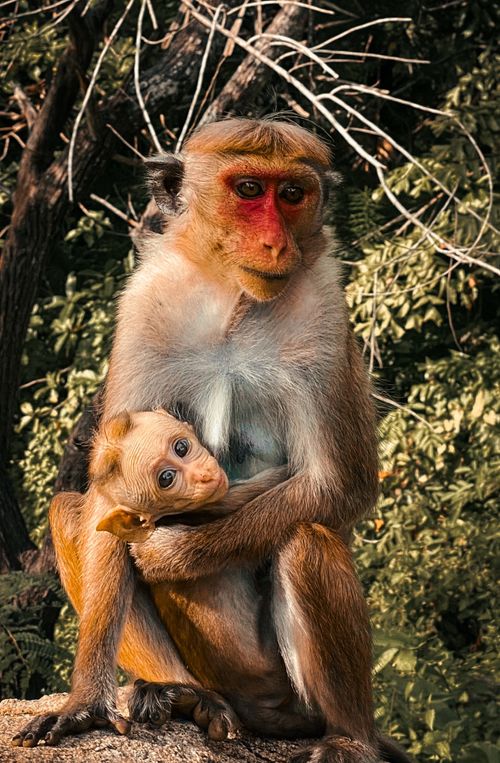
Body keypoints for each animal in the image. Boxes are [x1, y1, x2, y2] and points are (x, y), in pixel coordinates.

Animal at [13, 118, 412, 762]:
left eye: (291, 194)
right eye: (249, 189)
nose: (276, 244)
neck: (233, 300)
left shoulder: (325, 315)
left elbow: (337, 485)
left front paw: (173, 554)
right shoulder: (143, 304)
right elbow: (104, 498)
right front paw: (84, 704)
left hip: (289, 692)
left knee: (307, 541)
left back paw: (348, 736)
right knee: (71, 509)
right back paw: (183, 695)